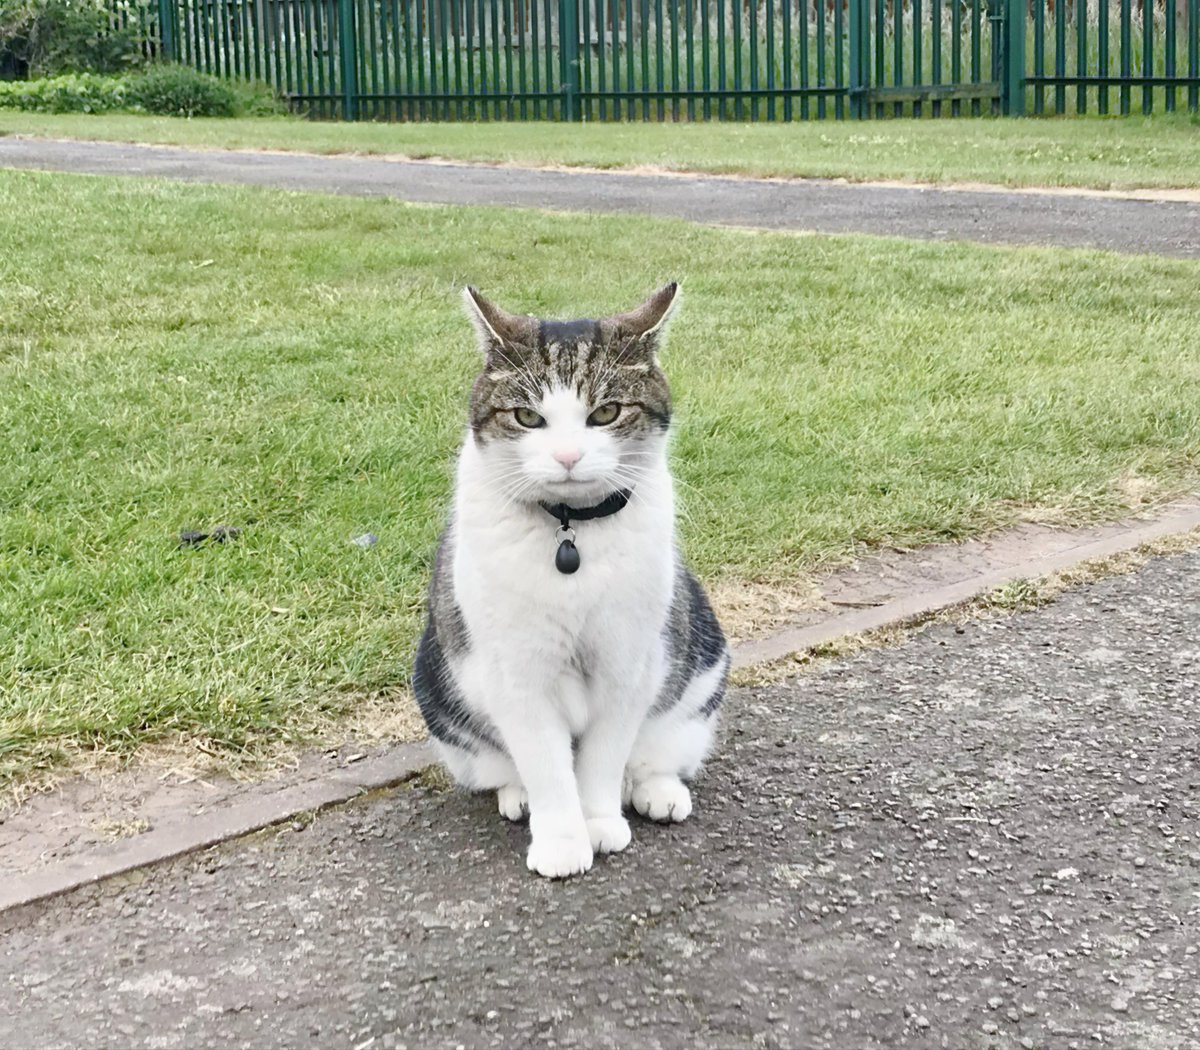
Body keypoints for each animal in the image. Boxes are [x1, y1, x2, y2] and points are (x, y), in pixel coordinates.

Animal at [412, 285, 729, 878]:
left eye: (606, 412)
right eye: (526, 416)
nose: (567, 456)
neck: (571, 529)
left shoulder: (627, 664)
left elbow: (602, 761)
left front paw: (599, 822)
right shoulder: (518, 675)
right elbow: (547, 766)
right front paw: (562, 840)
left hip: (701, 665)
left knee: (656, 750)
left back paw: (655, 789)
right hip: (440, 692)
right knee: (502, 765)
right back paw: (519, 797)